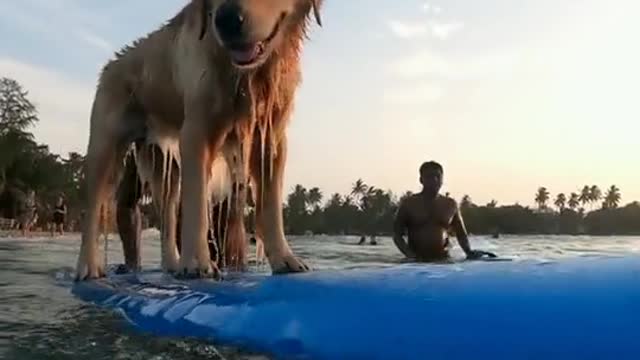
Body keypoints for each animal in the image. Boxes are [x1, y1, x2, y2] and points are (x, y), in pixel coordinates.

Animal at [77, 0, 322, 282]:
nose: (226, 20)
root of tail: (112, 64)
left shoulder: (270, 135)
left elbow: (270, 206)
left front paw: (285, 258)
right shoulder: (197, 131)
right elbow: (196, 202)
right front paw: (196, 263)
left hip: (165, 168)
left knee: (167, 217)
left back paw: (172, 264)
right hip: (104, 150)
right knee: (92, 210)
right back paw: (88, 266)